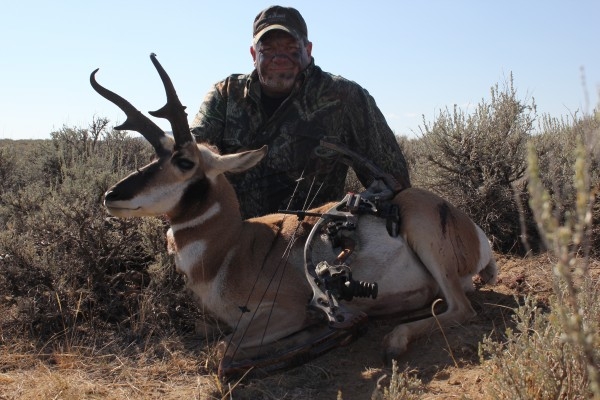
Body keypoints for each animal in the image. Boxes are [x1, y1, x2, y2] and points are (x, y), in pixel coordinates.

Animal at [92, 53, 496, 378]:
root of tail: (474, 233)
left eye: (185, 161)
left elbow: (221, 350)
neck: (232, 250)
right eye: (153, 156)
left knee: (462, 308)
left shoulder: (280, 312)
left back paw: (393, 340)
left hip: (423, 234)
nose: (112, 196)